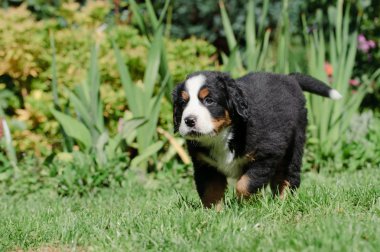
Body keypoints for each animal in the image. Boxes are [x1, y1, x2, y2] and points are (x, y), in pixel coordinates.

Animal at [172, 71, 342, 209]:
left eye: (209, 100)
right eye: (183, 102)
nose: (189, 120)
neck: (223, 136)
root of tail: (288, 77)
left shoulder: (267, 154)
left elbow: (245, 184)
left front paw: (245, 204)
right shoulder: (205, 165)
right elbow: (210, 191)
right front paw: (214, 213)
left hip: (294, 144)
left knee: (288, 177)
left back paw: (283, 203)